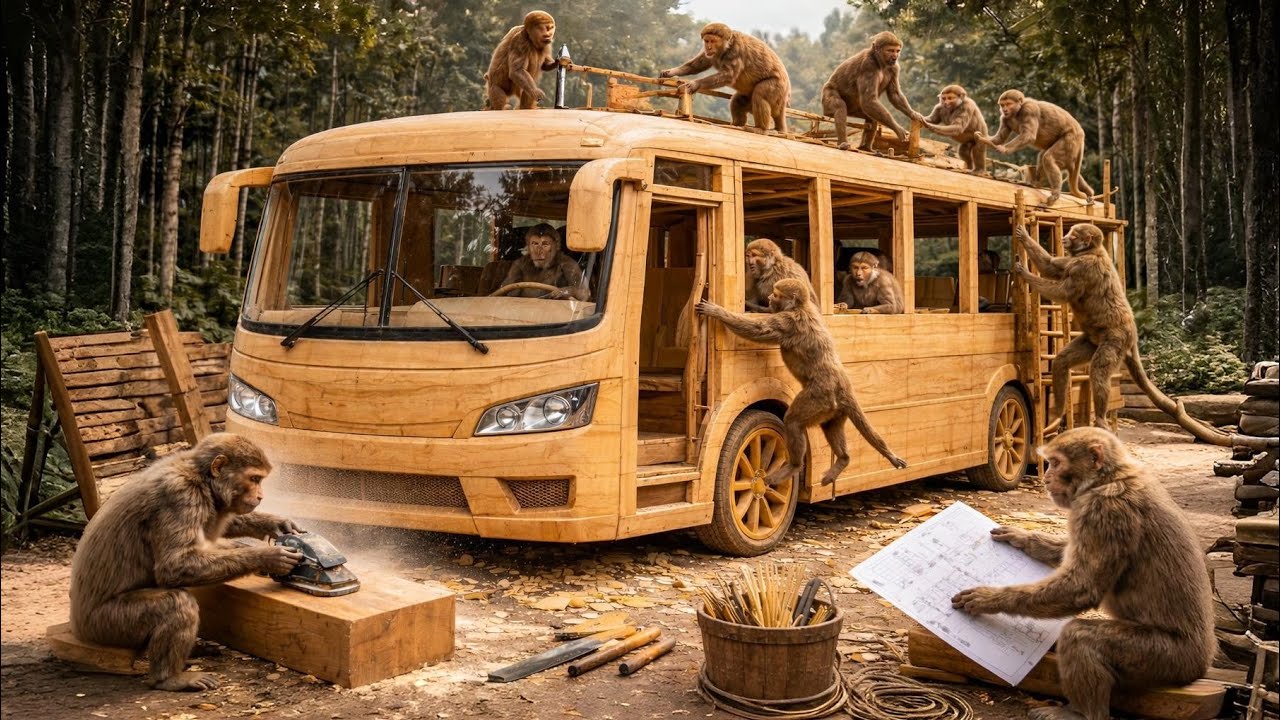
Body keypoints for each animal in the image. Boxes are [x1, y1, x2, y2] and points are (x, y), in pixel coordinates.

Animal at [69, 433, 303, 691]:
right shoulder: (182, 497)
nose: (260, 496)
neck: (203, 481)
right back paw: (168, 678)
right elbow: (174, 566)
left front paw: (275, 523)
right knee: (177, 602)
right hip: (108, 625)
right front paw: (269, 557)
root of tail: (78, 628)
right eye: (254, 479)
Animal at [660, 22, 791, 133]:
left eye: (712, 41)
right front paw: (670, 72)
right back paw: (738, 124)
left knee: (760, 93)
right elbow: (700, 63)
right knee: (738, 100)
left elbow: (729, 76)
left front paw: (695, 84)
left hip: (778, 88)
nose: (708, 47)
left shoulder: (735, 52)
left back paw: (761, 129)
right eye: (707, 41)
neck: (726, 47)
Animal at [697, 278, 907, 487]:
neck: (800, 307)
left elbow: (759, 330)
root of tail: (842, 385)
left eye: (776, 294)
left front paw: (717, 312)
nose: (770, 297)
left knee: (793, 422)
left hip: (820, 397)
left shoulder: (787, 322)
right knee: (830, 426)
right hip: (834, 409)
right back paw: (843, 459)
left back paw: (794, 466)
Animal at [952, 427, 1215, 720]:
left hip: (1165, 658)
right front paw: (1022, 537)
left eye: (1056, 463)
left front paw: (989, 599)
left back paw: (1081, 713)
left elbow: (1081, 587)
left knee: (1079, 634)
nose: (1045, 477)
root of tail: (1201, 666)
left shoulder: (1102, 511)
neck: (1106, 479)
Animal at [1012, 222, 1244, 447]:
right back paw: (1058, 413)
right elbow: (1051, 265)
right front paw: (1025, 239)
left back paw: (1100, 417)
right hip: (1093, 341)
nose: (1065, 238)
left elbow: (1062, 291)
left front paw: (1025, 274)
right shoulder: (1074, 261)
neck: (1091, 251)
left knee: (1099, 370)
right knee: (1062, 361)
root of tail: (1133, 333)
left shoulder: (1083, 267)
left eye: (1074, 235)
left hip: (1117, 339)